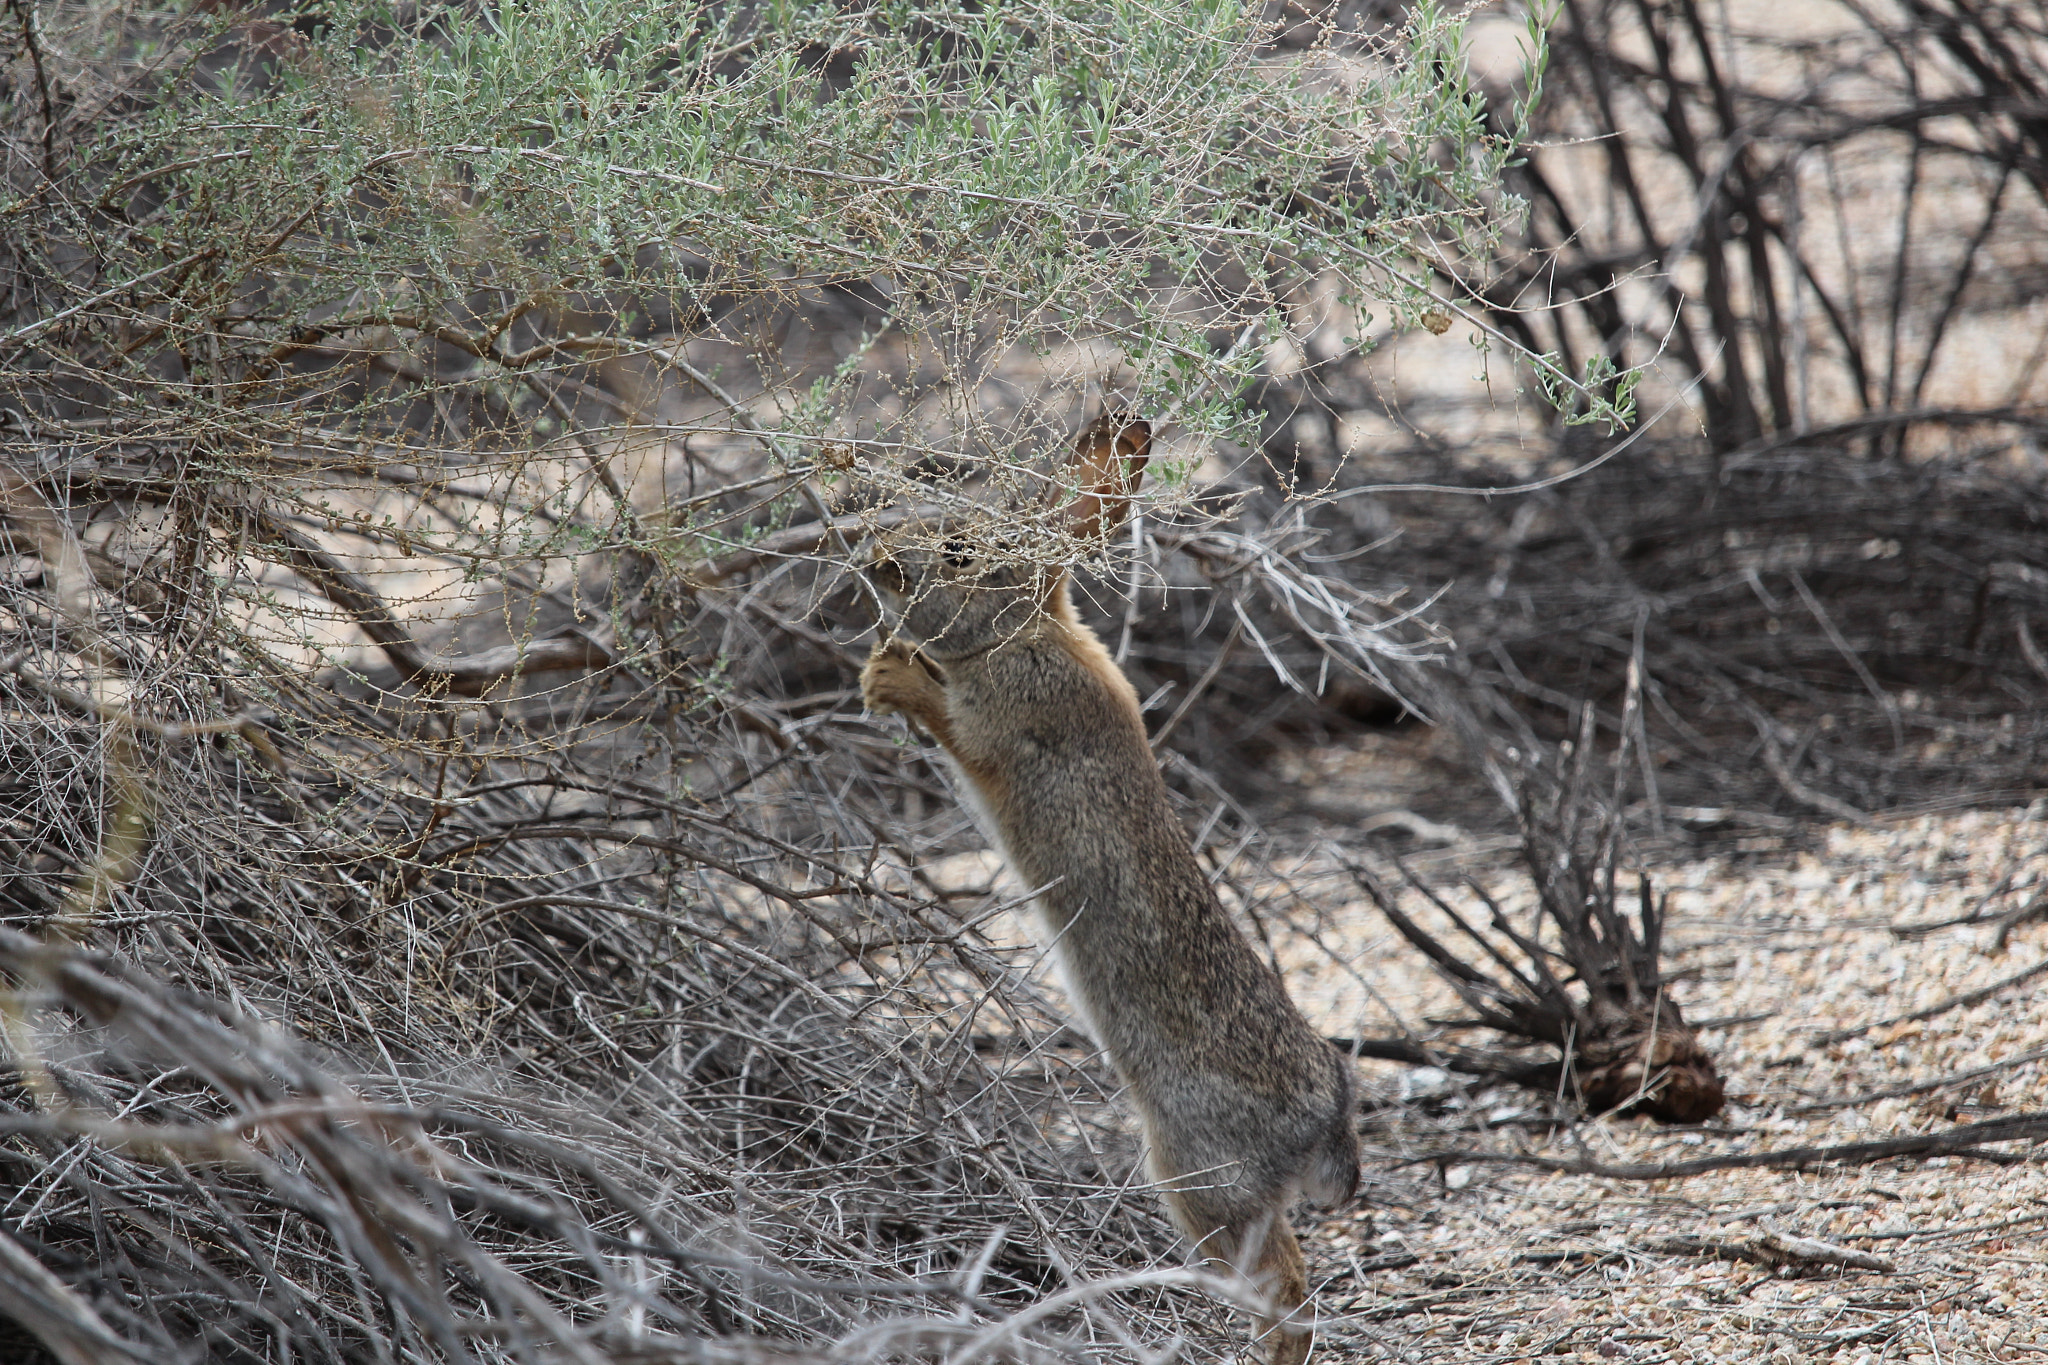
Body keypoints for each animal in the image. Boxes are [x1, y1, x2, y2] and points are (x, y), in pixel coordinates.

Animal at [858, 414, 1359, 1365]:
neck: (1022, 634)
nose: (875, 556)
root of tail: (1323, 1123)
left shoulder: (1002, 722)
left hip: (1192, 1170)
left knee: (1284, 1285)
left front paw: (888, 675)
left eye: (958, 551)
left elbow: (951, 722)